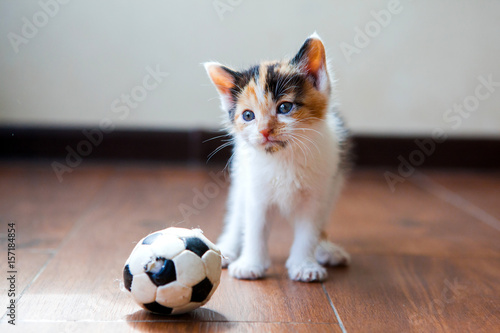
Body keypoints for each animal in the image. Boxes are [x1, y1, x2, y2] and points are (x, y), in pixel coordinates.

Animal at [205, 33, 350, 282]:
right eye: (248, 115)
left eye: (284, 107)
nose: (264, 131)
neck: (283, 157)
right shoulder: (255, 188)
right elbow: (254, 226)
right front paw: (250, 264)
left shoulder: (317, 193)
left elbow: (308, 230)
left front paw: (304, 265)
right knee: (237, 212)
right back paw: (228, 248)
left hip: (333, 185)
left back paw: (325, 249)